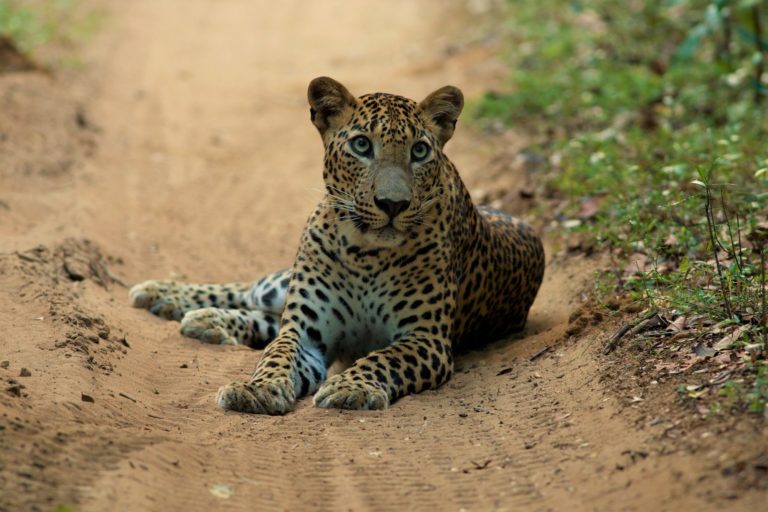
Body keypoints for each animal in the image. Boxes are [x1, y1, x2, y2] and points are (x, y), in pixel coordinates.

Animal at [127, 77, 544, 416]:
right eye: (362, 145)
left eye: (420, 151)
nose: (392, 204)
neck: (366, 253)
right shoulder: (305, 331)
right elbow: (277, 353)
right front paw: (258, 389)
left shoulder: (426, 339)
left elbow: (385, 358)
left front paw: (350, 387)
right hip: (279, 286)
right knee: (251, 293)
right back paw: (164, 296)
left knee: (264, 318)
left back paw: (205, 321)